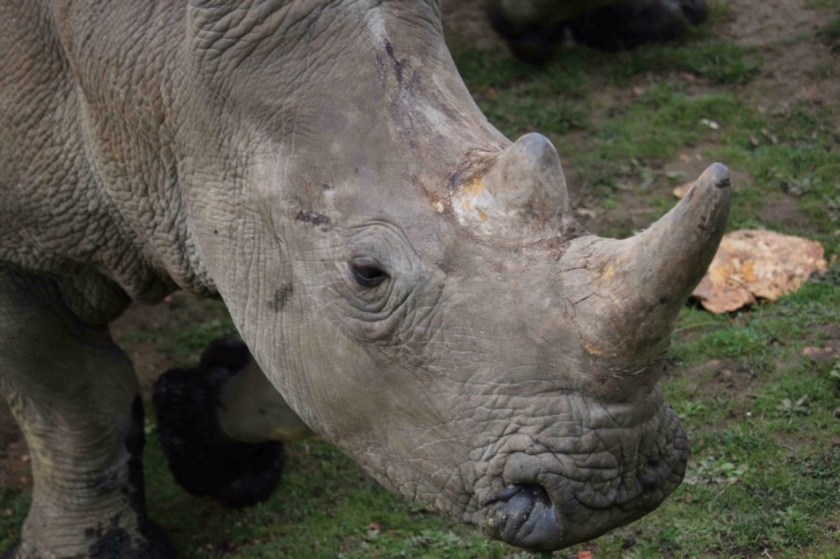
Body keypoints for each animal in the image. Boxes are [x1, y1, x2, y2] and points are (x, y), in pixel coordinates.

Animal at [0, 0, 731, 556]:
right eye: (367, 274)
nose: (619, 485)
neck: (151, 74)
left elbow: (304, 373)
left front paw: (204, 427)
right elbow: (75, 399)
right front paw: (92, 549)